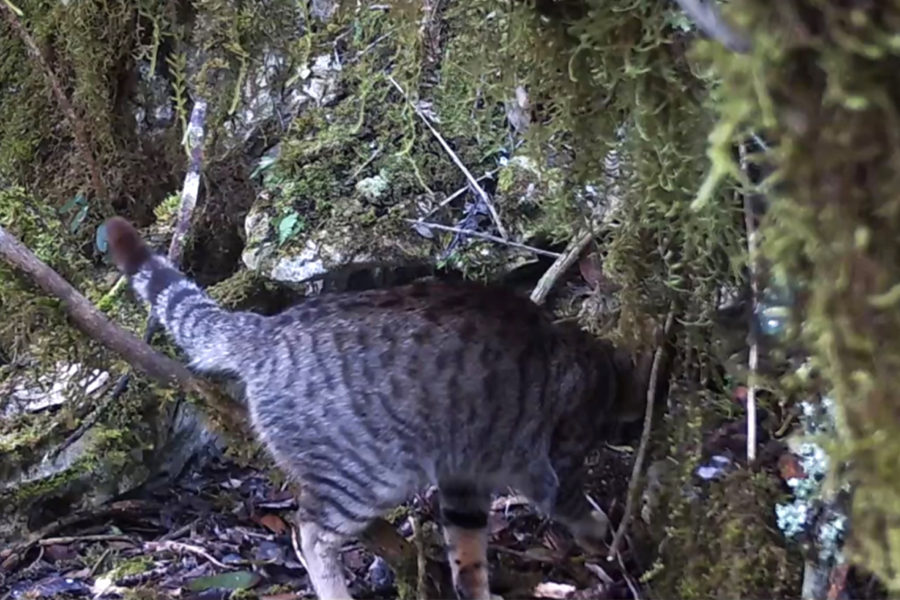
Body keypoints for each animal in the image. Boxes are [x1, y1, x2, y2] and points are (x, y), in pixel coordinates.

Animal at [105, 217, 652, 600]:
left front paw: (474, 587)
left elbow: (468, 553)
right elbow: (574, 503)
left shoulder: (464, 479)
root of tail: (268, 331)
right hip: (367, 473)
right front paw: (603, 535)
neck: (601, 367)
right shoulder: (554, 461)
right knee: (311, 534)